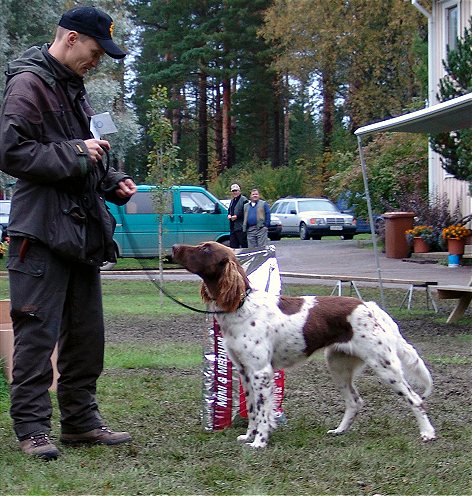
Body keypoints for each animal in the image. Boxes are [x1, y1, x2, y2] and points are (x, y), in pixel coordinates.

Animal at [171, 241, 436, 450]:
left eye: (206, 249)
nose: (174, 248)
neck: (241, 304)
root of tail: (370, 306)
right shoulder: (244, 371)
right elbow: (253, 410)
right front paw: (249, 436)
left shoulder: (261, 372)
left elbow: (263, 410)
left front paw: (259, 442)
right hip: (338, 366)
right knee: (355, 401)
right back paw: (339, 431)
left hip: (384, 365)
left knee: (415, 399)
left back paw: (427, 433)